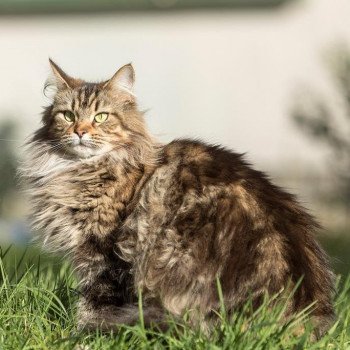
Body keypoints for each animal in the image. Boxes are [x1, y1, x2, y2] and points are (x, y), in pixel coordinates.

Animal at [20, 60, 334, 340]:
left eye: (101, 117)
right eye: (68, 116)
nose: (80, 131)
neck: (80, 169)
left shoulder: (104, 253)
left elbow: (95, 304)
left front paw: (82, 336)